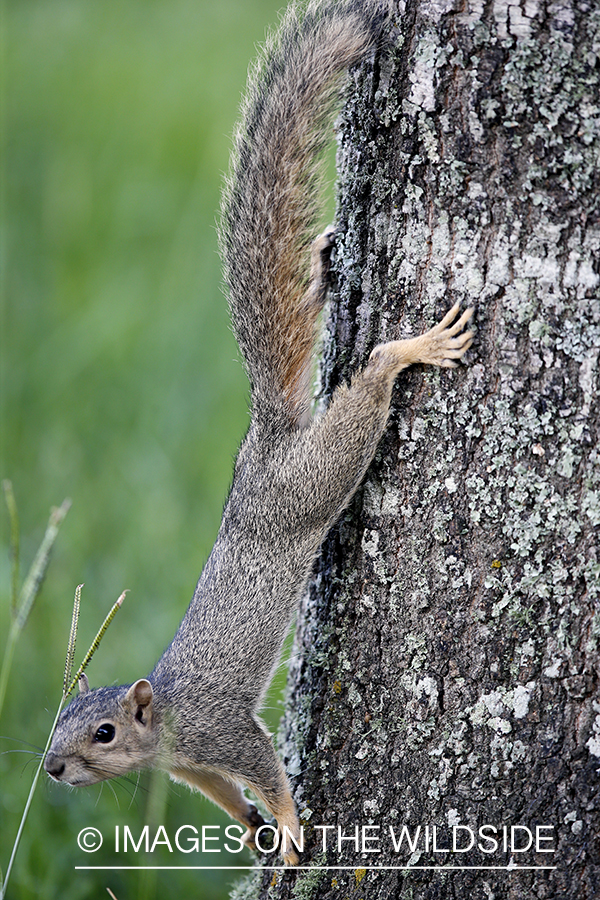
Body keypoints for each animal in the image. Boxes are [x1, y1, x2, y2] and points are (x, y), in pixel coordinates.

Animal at [43, 0, 474, 868]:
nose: (52, 768)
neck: (167, 727)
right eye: (57, 723)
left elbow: (266, 768)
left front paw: (293, 825)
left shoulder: (224, 734)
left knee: (367, 389)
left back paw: (405, 351)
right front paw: (251, 828)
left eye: (102, 732)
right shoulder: (192, 766)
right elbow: (219, 793)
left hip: (315, 477)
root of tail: (266, 439)